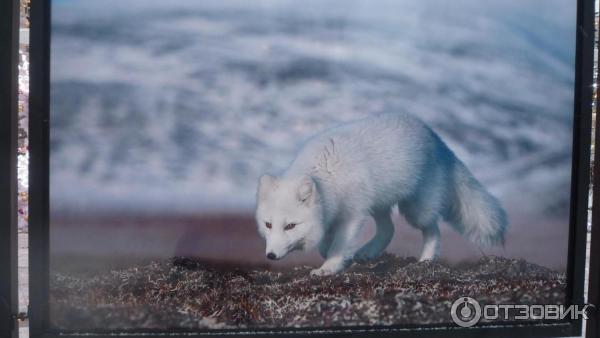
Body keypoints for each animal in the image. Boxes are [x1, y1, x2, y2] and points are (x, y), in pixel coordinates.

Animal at [254, 112, 506, 276]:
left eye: (290, 226)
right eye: (268, 224)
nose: (270, 256)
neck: (327, 175)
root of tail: (436, 138)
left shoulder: (352, 214)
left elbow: (338, 244)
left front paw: (329, 267)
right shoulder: (331, 213)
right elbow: (326, 242)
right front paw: (328, 254)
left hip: (416, 209)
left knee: (433, 229)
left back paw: (426, 259)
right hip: (379, 204)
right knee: (389, 229)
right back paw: (368, 252)